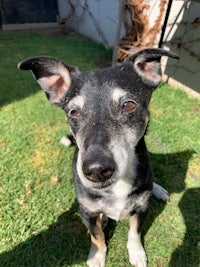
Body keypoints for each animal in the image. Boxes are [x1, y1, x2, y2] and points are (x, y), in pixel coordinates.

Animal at [18, 48, 178, 267]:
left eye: (128, 105)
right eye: (73, 112)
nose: (96, 170)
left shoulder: (142, 207)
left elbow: (135, 231)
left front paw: (136, 252)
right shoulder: (87, 212)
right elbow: (97, 236)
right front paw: (97, 256)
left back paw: (158, 190)